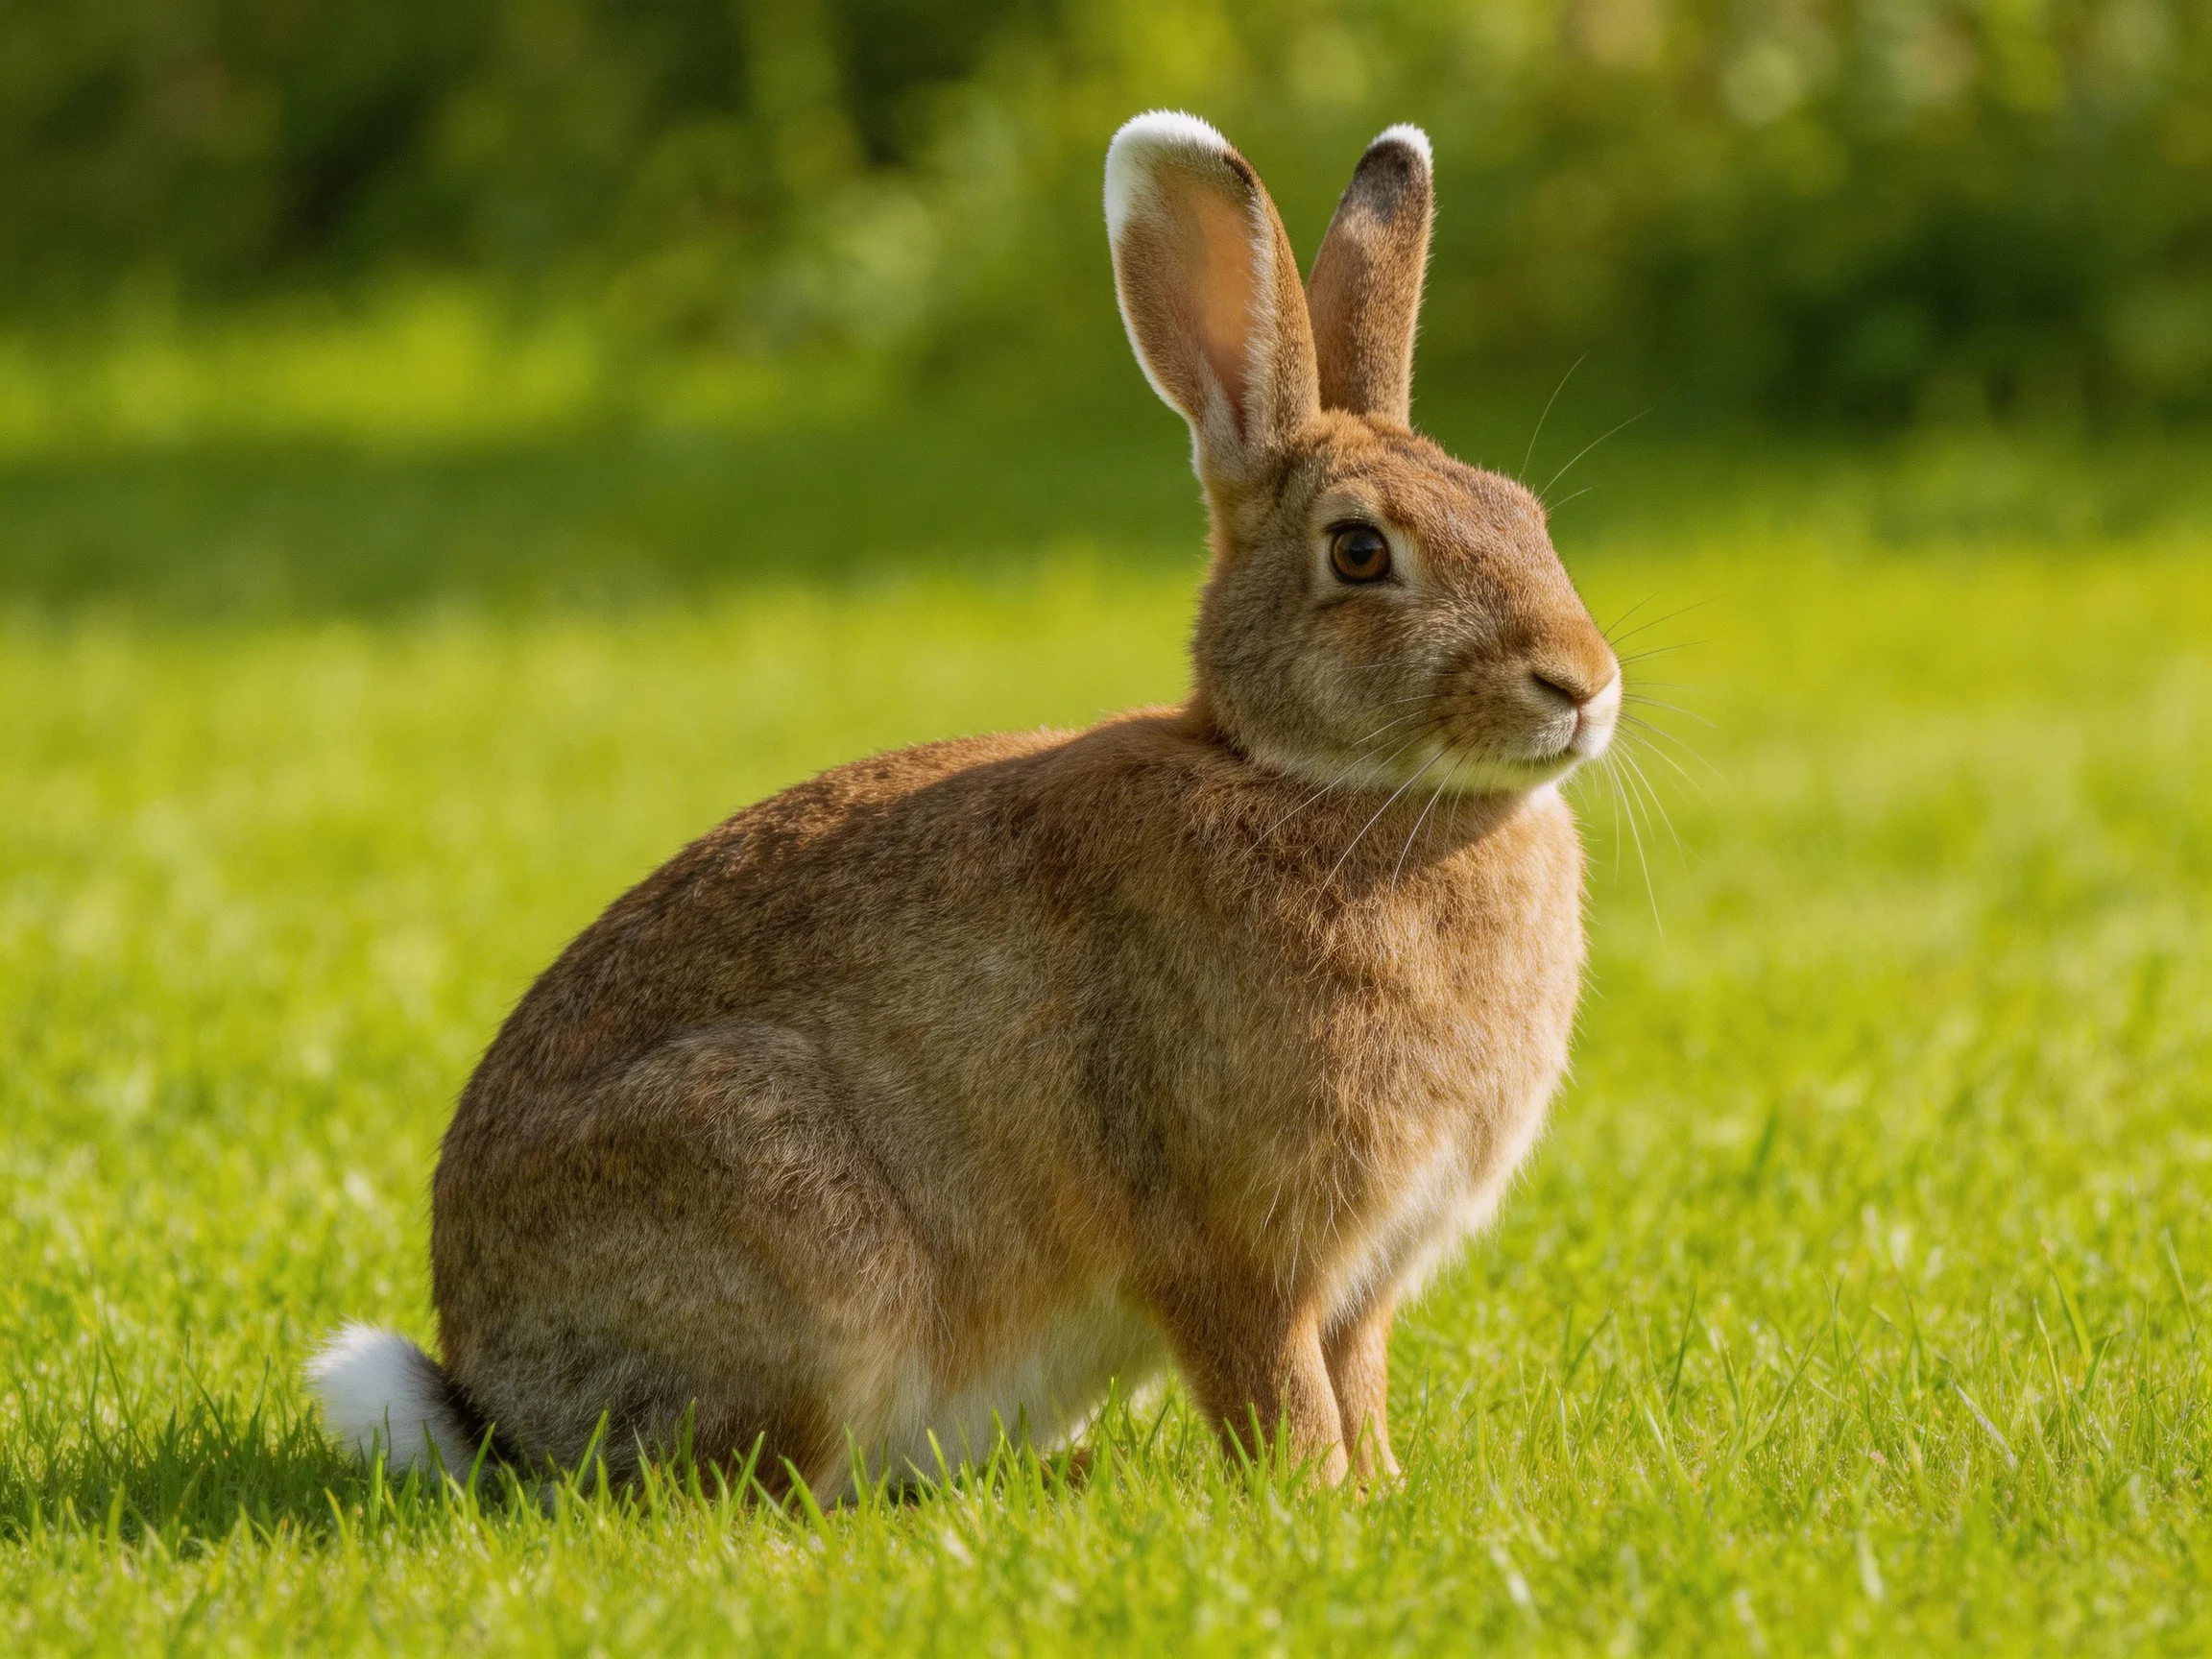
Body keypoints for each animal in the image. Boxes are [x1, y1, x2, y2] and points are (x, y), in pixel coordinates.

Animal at [307, 111, 1621, 1496]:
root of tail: (497, 1405)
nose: (1582, 684)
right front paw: (1315, 1502)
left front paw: (1380, 1493)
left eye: (1526, 515)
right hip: (788, 1216)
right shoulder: (1232, 1245)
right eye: (1361, 552)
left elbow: (1353, 1378)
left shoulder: (1361, 1280)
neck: (1303, 776)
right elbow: (1275, 1385)